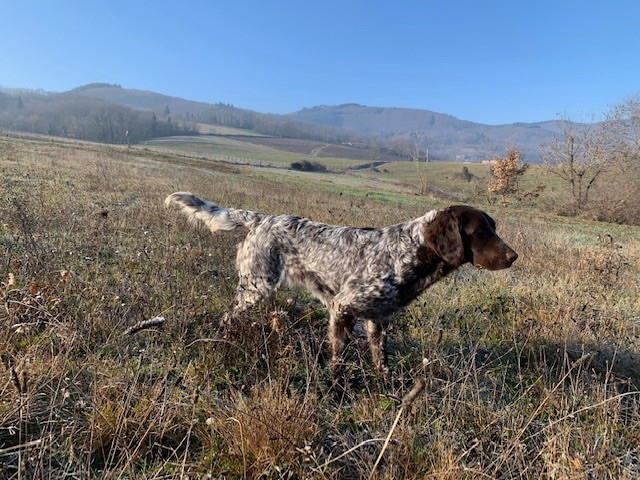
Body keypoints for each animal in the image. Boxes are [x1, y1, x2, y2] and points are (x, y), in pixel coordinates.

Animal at [165, 192, 516, 378]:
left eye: (493, 227)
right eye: (480, 231)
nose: (513, 256)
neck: (408, 252)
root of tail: (263, 219)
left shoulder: (378, 320)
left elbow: (380, 358)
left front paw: (386, 383)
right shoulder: (342, 307)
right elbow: (338, 358)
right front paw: (337, 385)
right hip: (256, 286)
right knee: (227, 316)